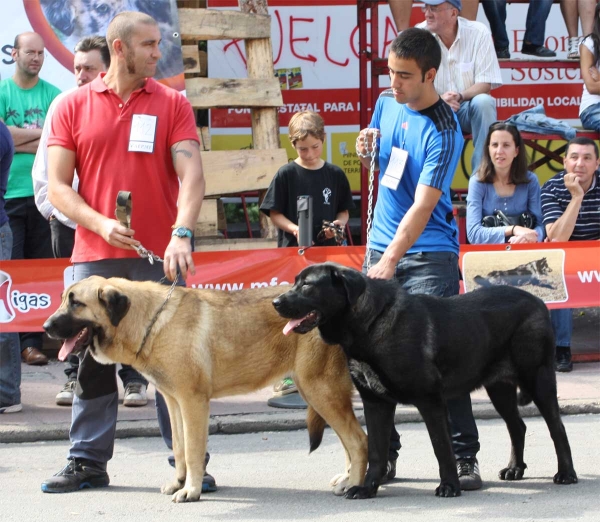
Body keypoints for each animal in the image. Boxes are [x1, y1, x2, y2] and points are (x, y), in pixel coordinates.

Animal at [274, 262, 580, 498]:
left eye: (307, 286)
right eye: (295, 282)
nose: (276, 302)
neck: (368, 324)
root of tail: (539, 302)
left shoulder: (430, 401)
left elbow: (441, 447)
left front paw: (449, 486)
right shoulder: (376, 403)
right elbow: (376, 450)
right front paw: (368, 488)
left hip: (538, 378)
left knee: (557, 428)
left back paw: (566, 473)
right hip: (499, 388)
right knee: (517, 426)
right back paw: (516, 469)